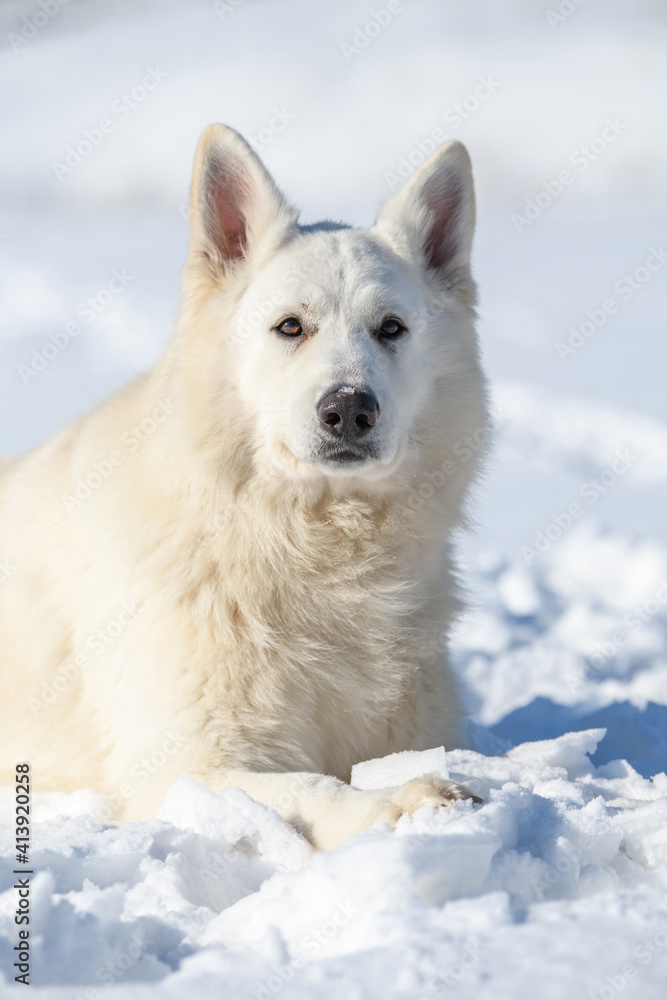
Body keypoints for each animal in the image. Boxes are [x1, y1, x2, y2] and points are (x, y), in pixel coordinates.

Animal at [1, 121, 490, 848]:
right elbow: (312, 786)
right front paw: (398, 804)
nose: (349, 409)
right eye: (290, 327)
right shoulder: (188, 767)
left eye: (391, 329)